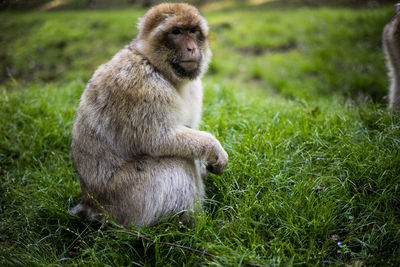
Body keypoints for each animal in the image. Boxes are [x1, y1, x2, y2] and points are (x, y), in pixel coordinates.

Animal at [70, 3, 230, 227]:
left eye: (193, 31)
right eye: (176, 32)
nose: (191, 48)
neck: (154, 64)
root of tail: (89, 203)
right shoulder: (141, 88)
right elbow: (157, 139)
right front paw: (214, 148)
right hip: (127, 199)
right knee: (179, 163)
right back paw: (193, 225)